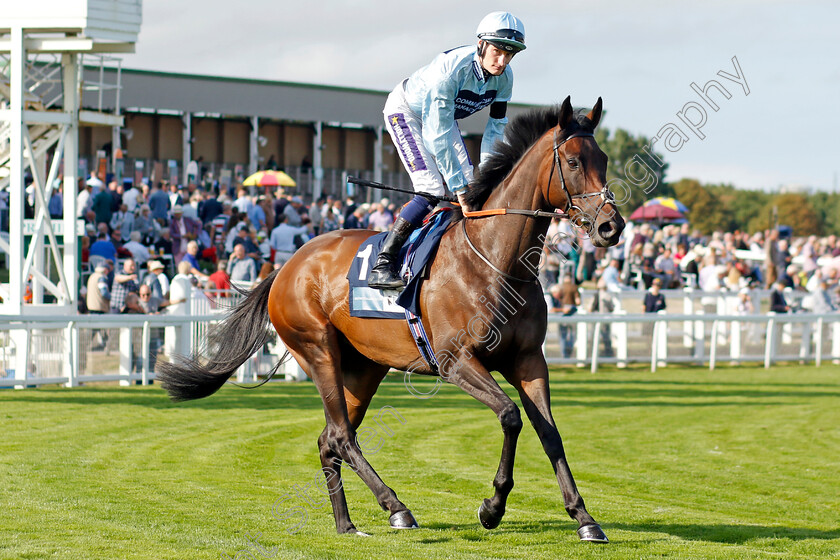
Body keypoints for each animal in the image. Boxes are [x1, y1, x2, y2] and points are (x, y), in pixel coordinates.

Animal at [161, 96, 628, 544]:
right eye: (573, 162)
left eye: (603, 159)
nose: (612, 226)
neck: (494, 260)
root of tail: (287, 265)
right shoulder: (456, 362)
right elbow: (510, 416)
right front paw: (492, 508)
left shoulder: (529, 360)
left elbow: (550, 433)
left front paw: (584, 518)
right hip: (318, 351)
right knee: (342, 436)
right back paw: (397, 508)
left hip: (364, 367)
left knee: (329, 439)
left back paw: (347, 525)